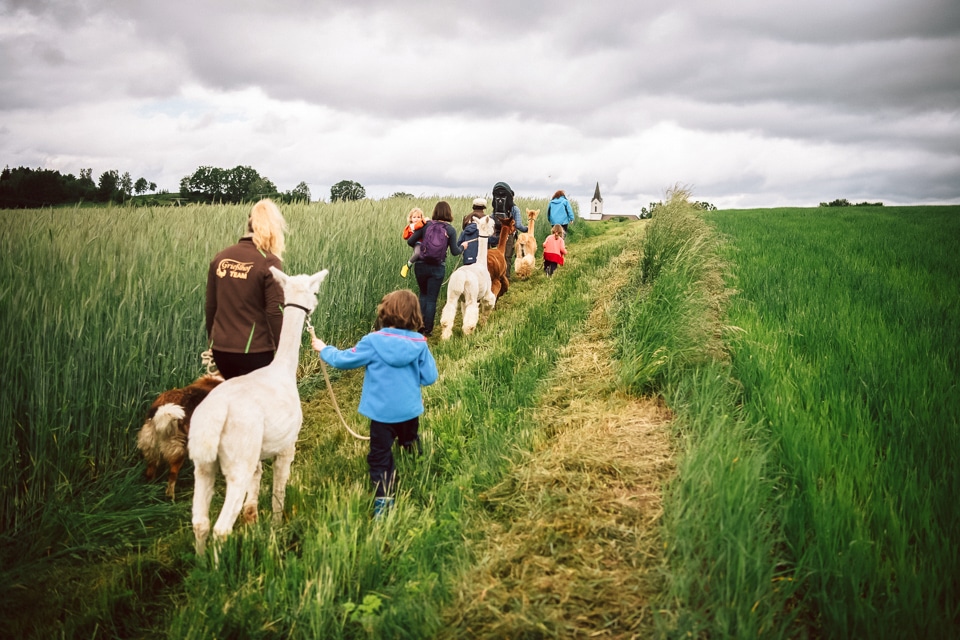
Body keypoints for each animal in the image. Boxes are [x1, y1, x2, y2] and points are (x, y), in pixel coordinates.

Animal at [137, 372, 223, 502]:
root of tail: (162, 411)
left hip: (152, 448)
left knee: (150, 472)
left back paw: (150, 492)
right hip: (179, 449)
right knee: (172, 475)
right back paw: (170, 498)